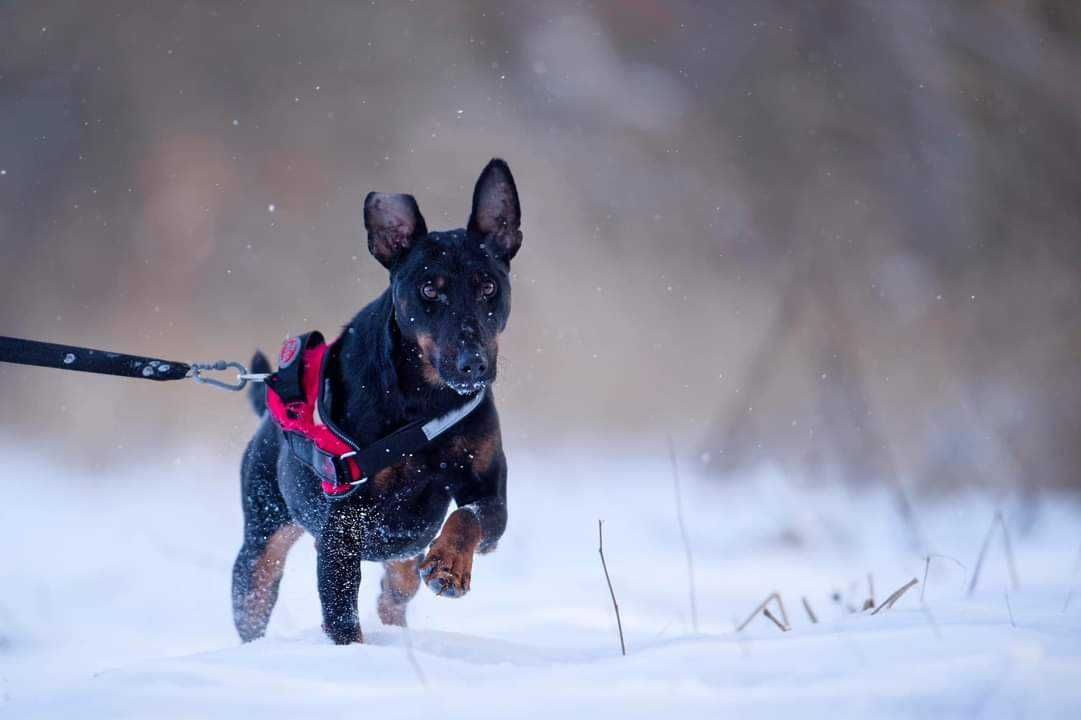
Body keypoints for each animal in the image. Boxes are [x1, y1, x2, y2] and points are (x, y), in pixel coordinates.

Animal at [233, 160, 523, 640]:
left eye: (488, 286)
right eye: (429, 290)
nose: (473, 365)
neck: (426, 403)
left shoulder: (489, 493)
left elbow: (469, 517)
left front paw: (449, 567)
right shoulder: (341, 529)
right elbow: (341, 617)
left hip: (402, 548)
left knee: (396, 589)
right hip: (261, 542)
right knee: (253, 602)